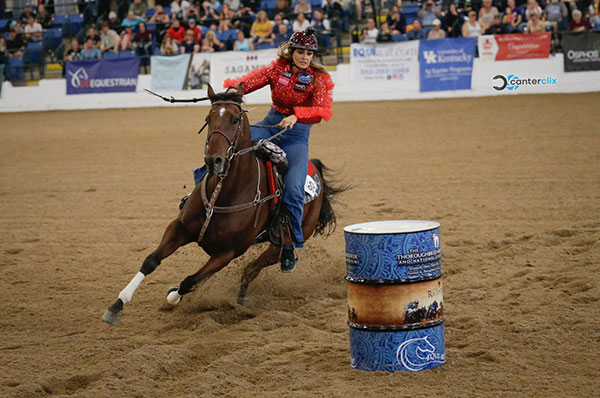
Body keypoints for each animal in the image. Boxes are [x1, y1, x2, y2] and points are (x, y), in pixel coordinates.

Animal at [103, 85, 342, 324]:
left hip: (282, 244)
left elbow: (189, 281)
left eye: (235, 119)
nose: (213, 161)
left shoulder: (228, 252)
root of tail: (316, 171)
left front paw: (173, 296)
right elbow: (151, 261)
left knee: (251, 270)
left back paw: (241, 304)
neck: (225, 193)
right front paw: (117, 304)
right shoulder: (179, 227)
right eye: (208, 119)